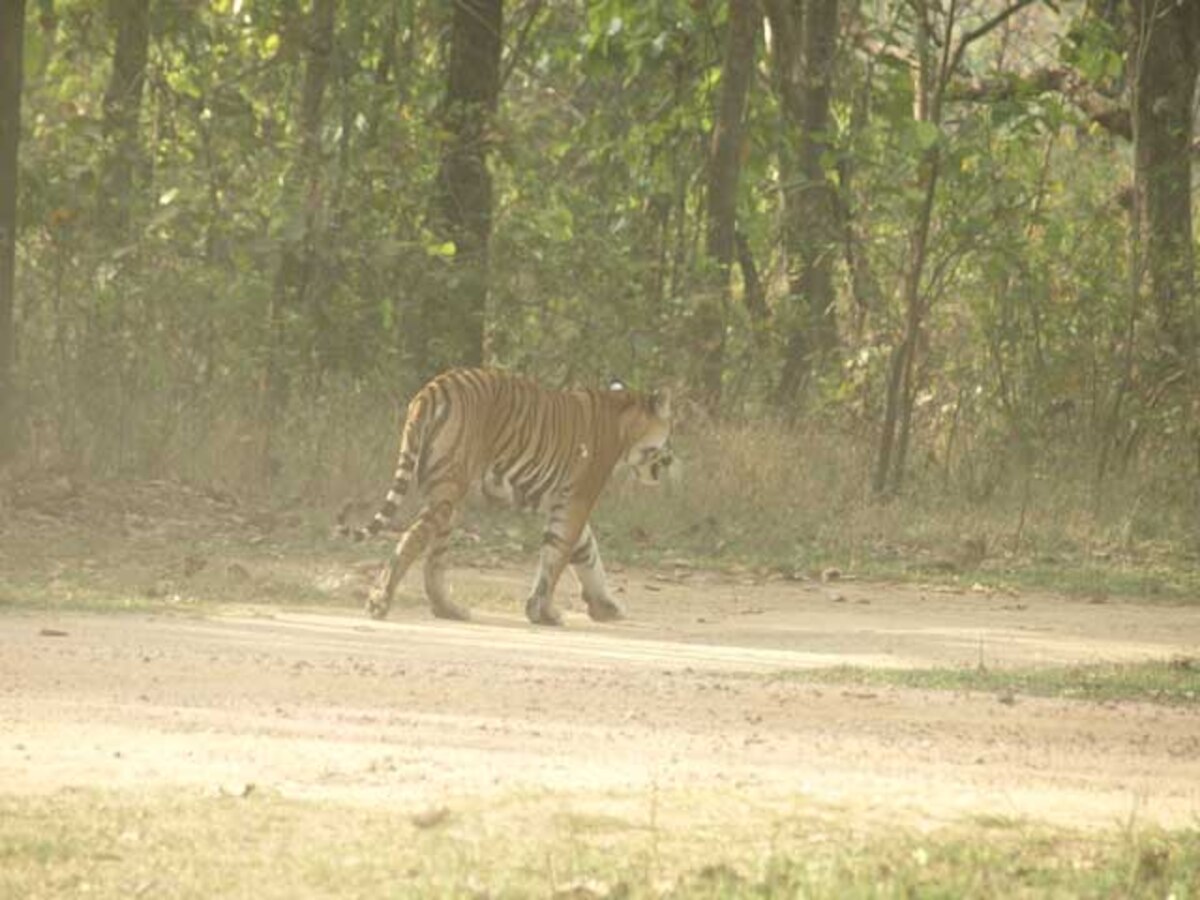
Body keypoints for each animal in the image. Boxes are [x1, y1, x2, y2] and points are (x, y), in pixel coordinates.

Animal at [343, 367, 672, 628]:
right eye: (668, 438)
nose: (671, 460)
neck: (624, 421)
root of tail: (435, 386)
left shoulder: (561, 501)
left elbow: (585, 552)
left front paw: (605, 607)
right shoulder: (577, 499)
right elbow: (558, 557)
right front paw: (545, 613)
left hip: (448, 494)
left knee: (435, 558)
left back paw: (449, 610)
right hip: (449, 488)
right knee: (413, 538)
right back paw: (380, 602)